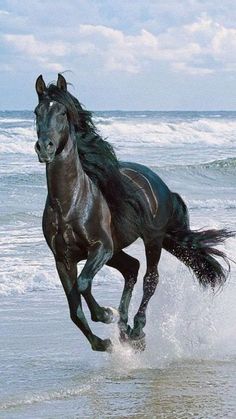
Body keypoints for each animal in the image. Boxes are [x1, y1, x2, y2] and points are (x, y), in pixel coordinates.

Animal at [34, 74, 233, 352]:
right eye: (37, 111)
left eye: (62, 112)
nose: (45, 148)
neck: (69, 204)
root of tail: (160, 185)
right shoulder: (63, 259)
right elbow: (74, 310)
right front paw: (103, 342)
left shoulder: (101, 248)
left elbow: (83, 284)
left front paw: (106, 314)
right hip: (118, 250)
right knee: (132, 268)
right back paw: (125, 329)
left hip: (151, 240)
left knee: (150, 278)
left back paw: (136, 328)